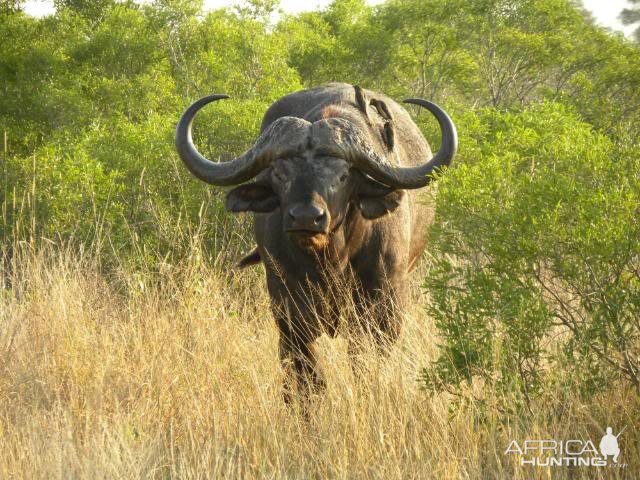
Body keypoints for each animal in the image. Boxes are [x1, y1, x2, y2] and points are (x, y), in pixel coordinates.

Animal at [175, 83, 456, 402]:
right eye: (280, 174)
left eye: (343, 175)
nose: (307, 217)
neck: (331, 259)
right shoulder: (288, 308)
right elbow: (307, 375)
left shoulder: (384, 303)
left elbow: (365, 363)